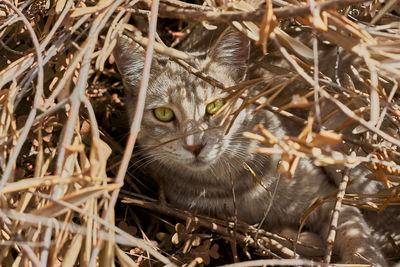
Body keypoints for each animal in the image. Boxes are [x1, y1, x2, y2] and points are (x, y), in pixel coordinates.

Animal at [114, 27, 398, 266]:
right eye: (163, 114)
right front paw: (302, 240)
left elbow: (359, 242)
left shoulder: (327, 198)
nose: (195, 146)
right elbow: (274, 234)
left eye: (215, 106)